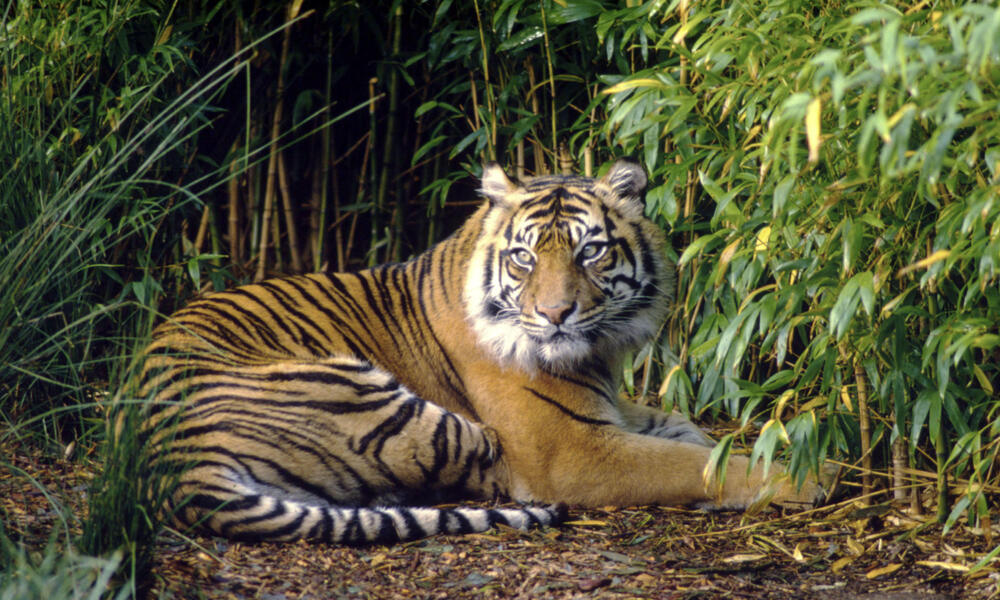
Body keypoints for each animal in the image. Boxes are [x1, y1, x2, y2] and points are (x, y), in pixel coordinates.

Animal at [136, 159, 823, 545]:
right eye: (524, 258)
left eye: (590, 252)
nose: (555, 314)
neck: (594, 353)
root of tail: (170, 462)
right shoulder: (571, 449)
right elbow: (692, 464)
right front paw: (812, 475)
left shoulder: (615, 407)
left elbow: (685, 429)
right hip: (383, 400)